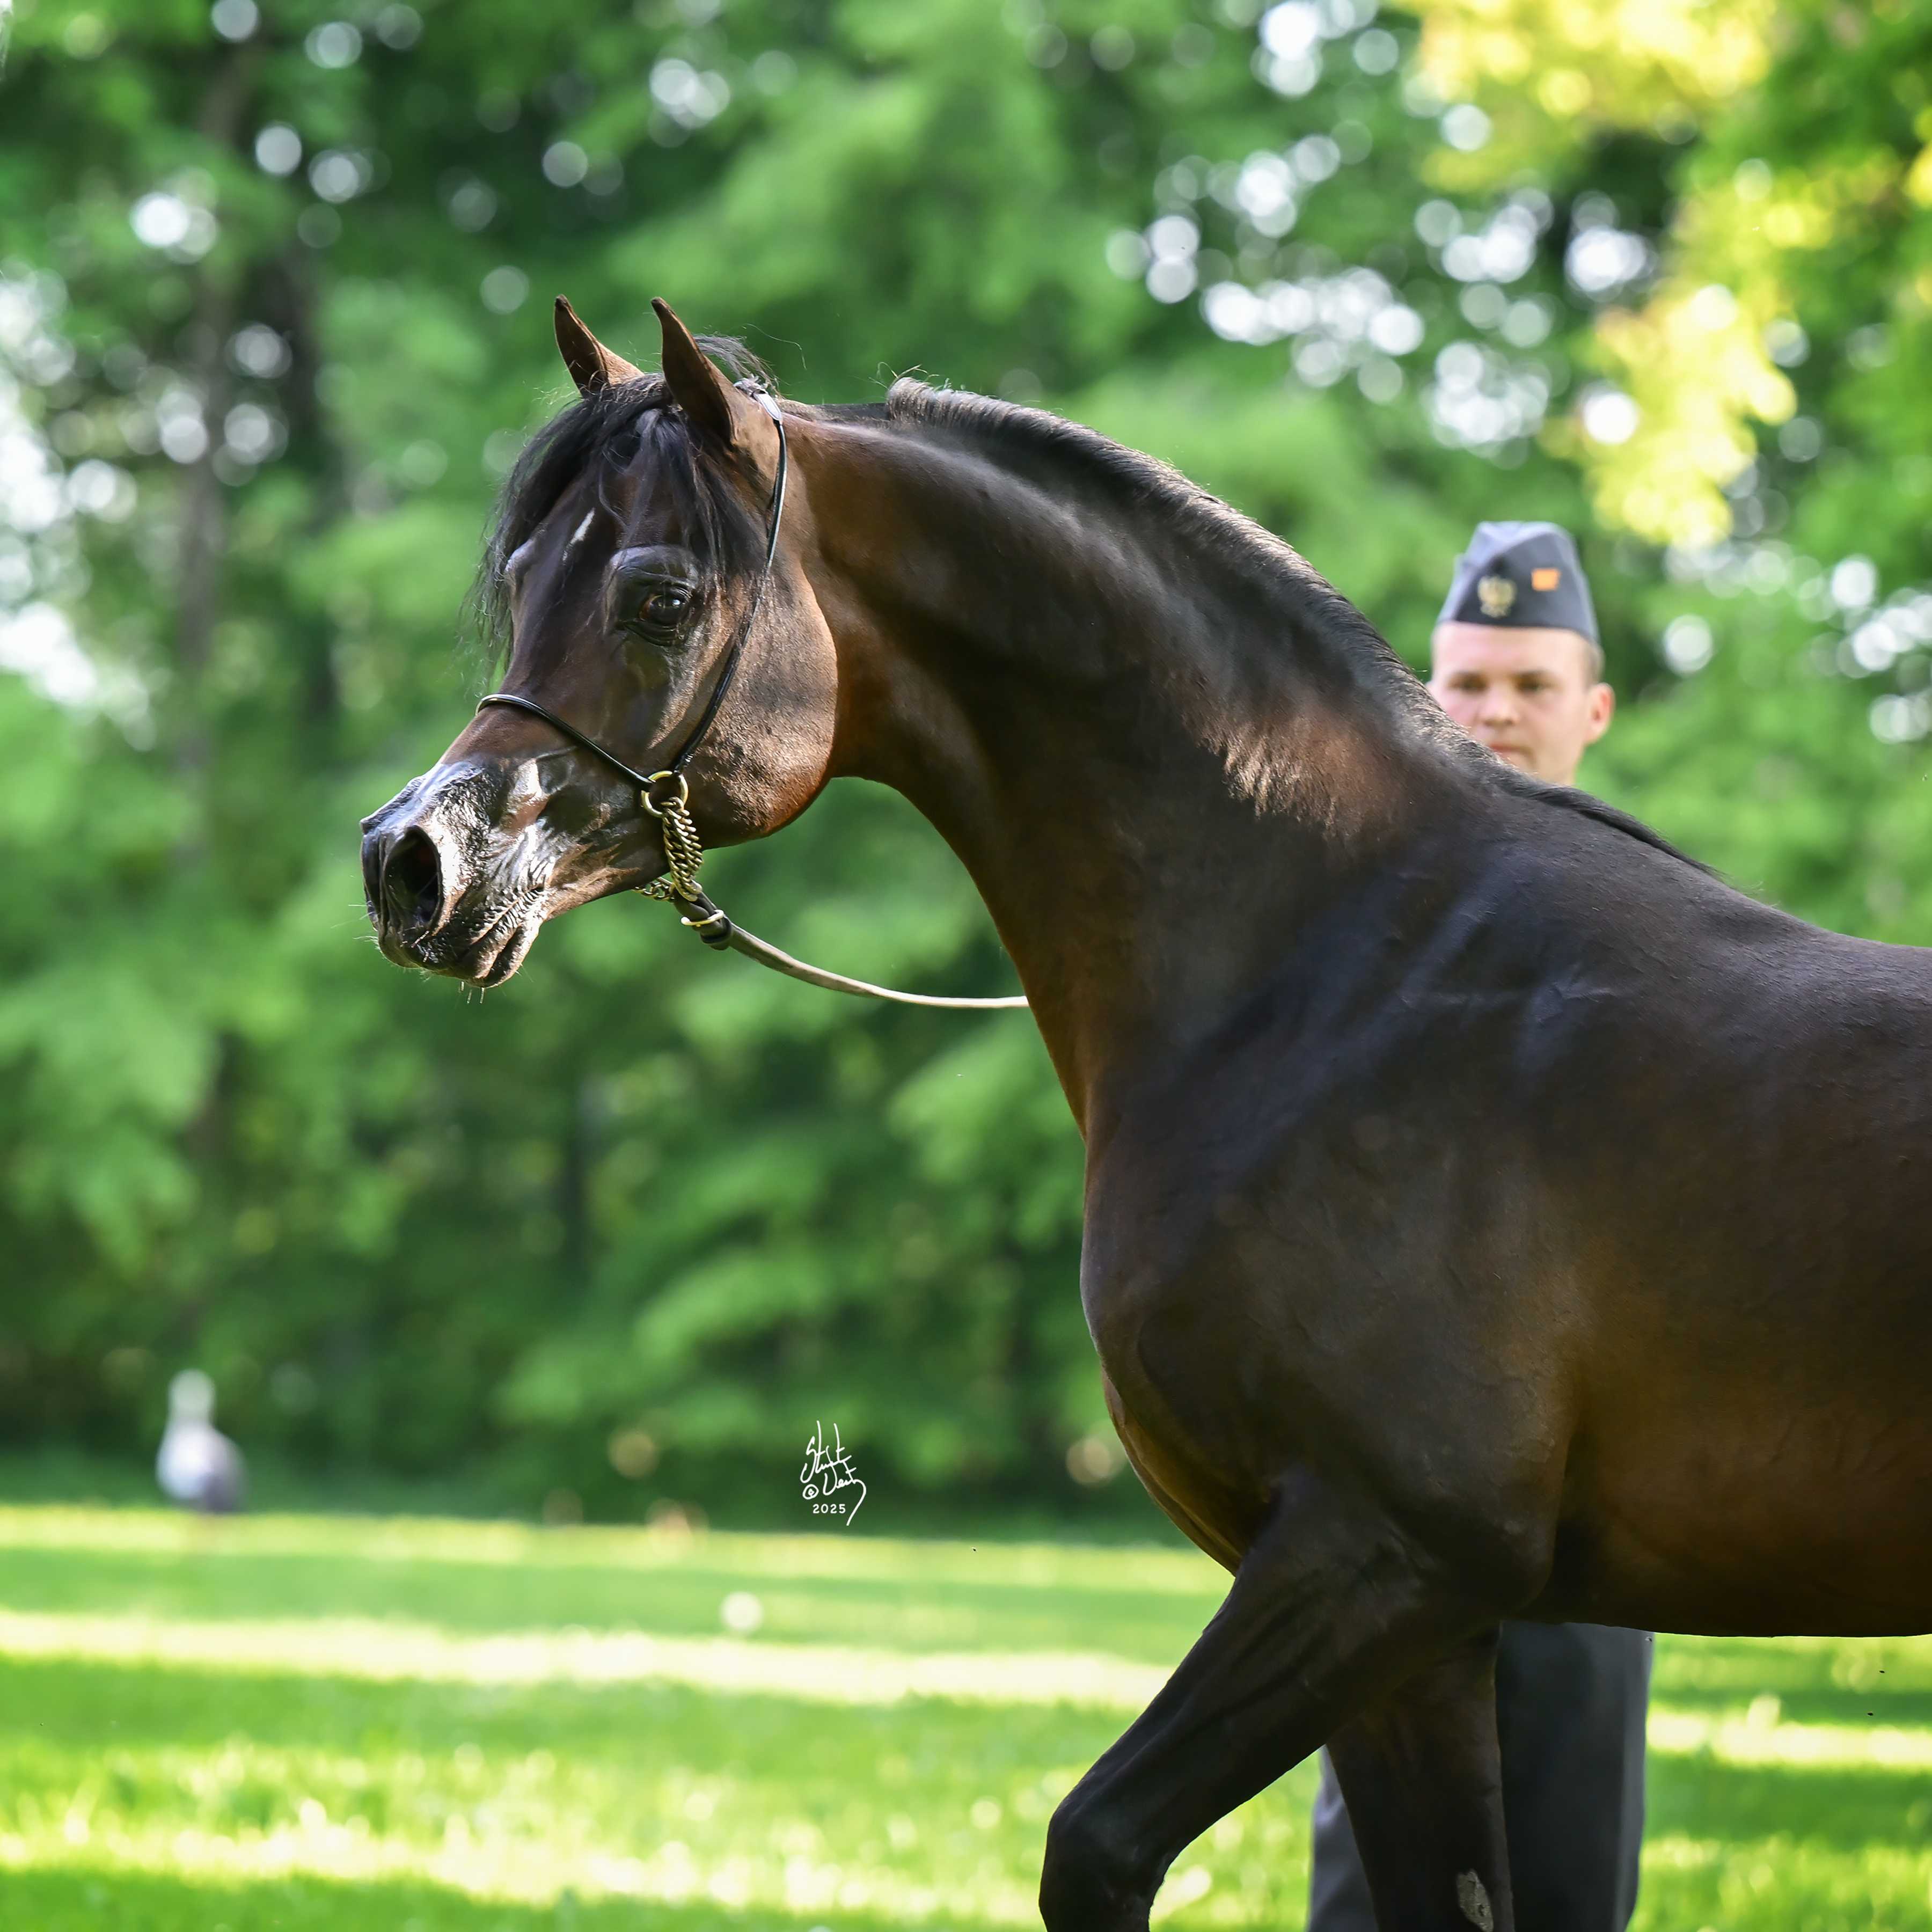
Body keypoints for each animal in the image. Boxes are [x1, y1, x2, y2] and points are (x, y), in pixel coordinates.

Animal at [361, 298, 1932, 1932]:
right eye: (523, 580)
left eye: (658, 596)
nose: (411, 862)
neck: (1341, 975)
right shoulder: (1414, 1637)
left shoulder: (1383, 1557)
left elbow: (1097, 1846)